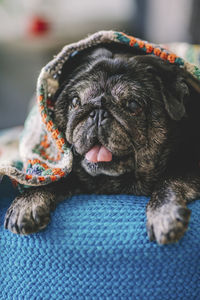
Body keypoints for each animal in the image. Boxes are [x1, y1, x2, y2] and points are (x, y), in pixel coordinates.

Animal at [4, 45, 200, 245]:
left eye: (133, 105)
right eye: (75, 102)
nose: (98, 112)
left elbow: (168, 181)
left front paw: (164, 214)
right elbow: (55, 178)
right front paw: (28, 202)